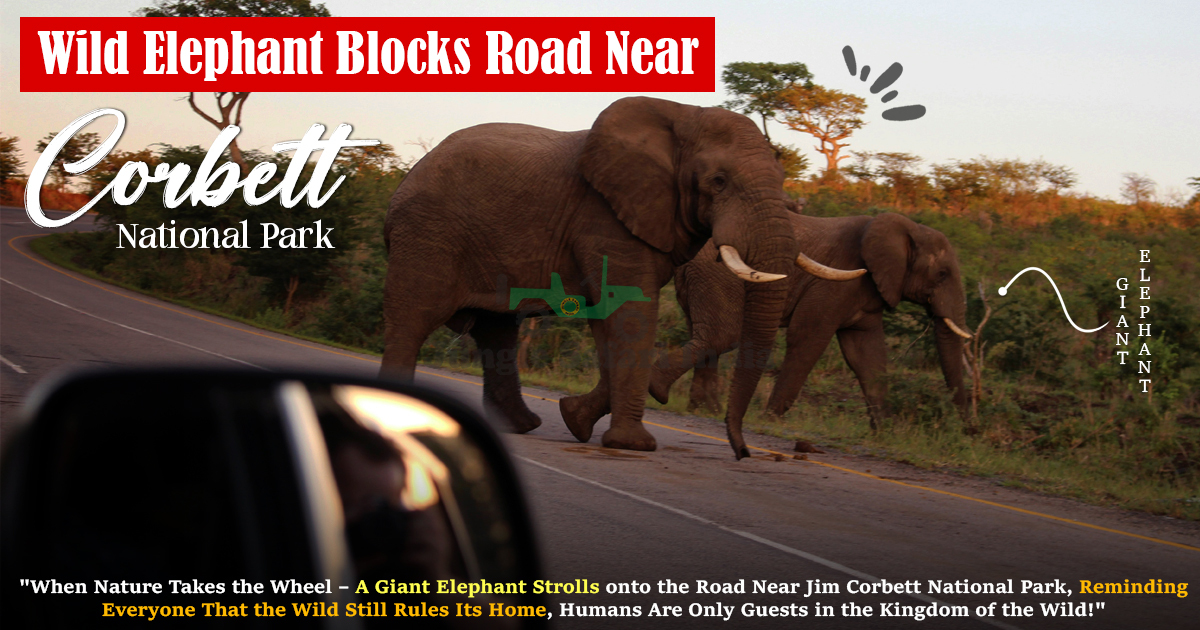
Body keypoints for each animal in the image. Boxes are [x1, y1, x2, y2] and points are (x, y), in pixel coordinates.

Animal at [379, 97, 861, 452]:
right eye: (719, 182)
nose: (741, 452)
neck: (683, 116)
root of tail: (405, 178)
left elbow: (610, 320)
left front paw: (576, 419)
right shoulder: (604, 216)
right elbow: (632, 311)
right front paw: (633, 445)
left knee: (497, 330)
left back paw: (522, 425)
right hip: (427, 235)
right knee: (413, 319)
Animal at [649, 212, 972, 453]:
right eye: (942, 274)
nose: (969, 432)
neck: (907, 228)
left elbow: (867, 357)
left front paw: (884, 433)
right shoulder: (834, 283)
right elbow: (808, 339)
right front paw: (771, 419)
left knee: (705, 333)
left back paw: (705, 410)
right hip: (719, 277)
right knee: (721, 335)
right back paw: (660, 391)